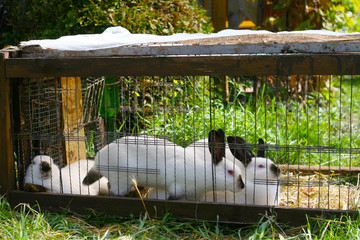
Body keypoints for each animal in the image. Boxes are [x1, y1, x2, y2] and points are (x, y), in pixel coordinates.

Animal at [82, 130, 245, 200]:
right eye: (230, 172)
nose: (242, 186)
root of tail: (98, 161)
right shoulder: (177, 184)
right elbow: (173, 194)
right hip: (121, 179)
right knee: (113, 191)